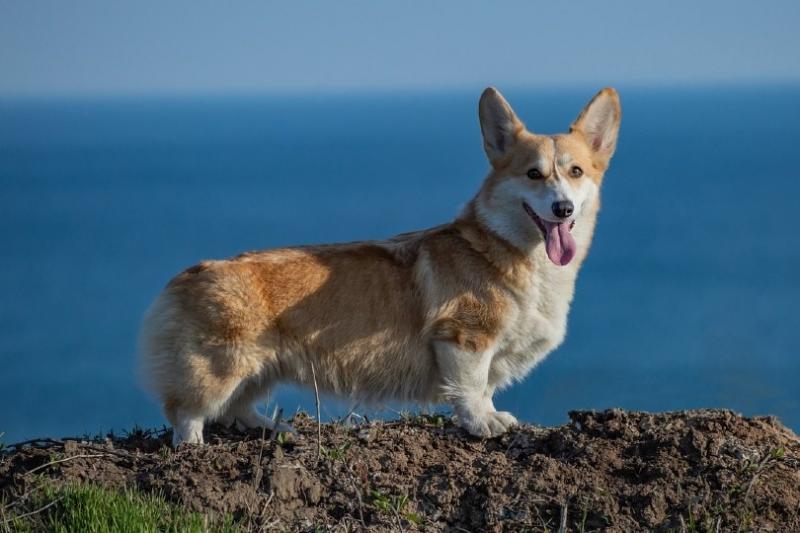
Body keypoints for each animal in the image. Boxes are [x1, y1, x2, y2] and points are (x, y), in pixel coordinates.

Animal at [141, 88, 620, 444]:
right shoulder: (464, 339)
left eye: (576, 172)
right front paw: (482, 423)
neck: (509, 250)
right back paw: (192, 445)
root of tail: (186, 275)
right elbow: (470, 387)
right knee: (188, 409)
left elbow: (484, 387)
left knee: (236, 407)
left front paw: (490, 415)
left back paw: (269, 426)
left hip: (259, 368)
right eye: (533, 174)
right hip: (219, 366)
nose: (562, 209)